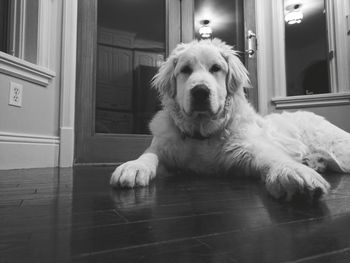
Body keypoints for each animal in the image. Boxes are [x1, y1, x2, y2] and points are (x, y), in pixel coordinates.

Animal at [110, 38, 350, 201]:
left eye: (216, 68)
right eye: (185, 70)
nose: (200, 92)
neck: (201, 133)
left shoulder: (249, 147)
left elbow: (272, 156)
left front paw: (291, 171)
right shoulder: (164, 145)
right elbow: (149, 154)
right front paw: (135, 166)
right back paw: (314, 161)